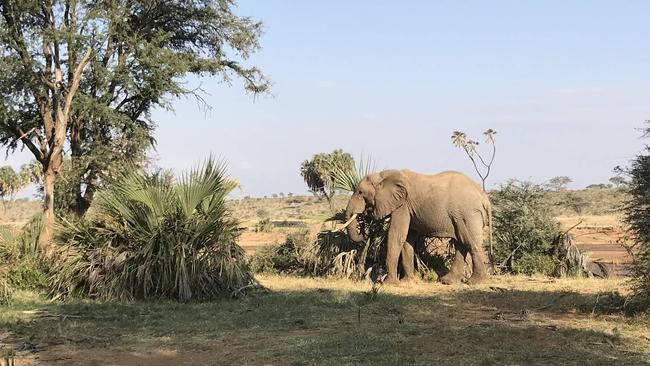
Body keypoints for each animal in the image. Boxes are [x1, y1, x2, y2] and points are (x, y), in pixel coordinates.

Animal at [340, 169, 492, 286]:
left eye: (360, 192)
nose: (363, 233)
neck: (384, 174)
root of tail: (484, 197)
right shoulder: (408, 209)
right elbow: (408, 239)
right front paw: (407, 281)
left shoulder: (402, 205)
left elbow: (396, 236)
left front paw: (389, 284)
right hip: (461, 215)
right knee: (461, 243)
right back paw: (447, 281)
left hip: (468, 213)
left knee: (471, 243)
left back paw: (475, 282)